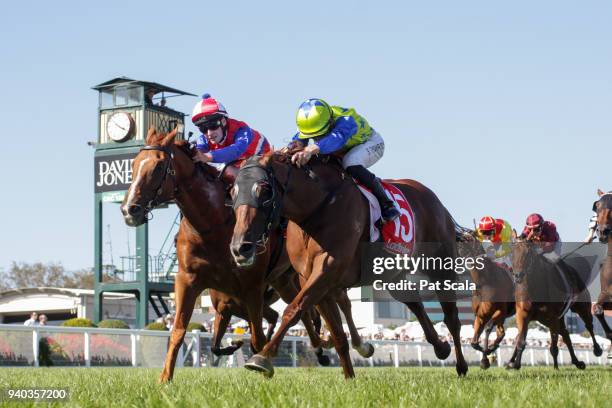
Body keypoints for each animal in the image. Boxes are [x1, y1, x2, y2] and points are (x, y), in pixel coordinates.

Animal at [120, 128, 330, 382]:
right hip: (281, 280)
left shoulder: (251, 286)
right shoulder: (189, 281)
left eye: (159, 167)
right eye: (133, 164)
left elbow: (257, 338)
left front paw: (260, 366)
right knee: (302, 310)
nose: (129, 209)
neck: (212, 223)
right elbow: (178, 331)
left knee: (304, 309)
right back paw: (318, 349)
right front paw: (165, 379)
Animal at [230, 153, 468, 380]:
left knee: (452, 319)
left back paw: (461, 366)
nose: (240, 247)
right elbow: (336, 334)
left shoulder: (327, 268)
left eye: (264, 190)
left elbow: (294, 309)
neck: (316, 209)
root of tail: (434, 199)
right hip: (391, 273)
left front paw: (262, 357)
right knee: (413, 302)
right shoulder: (314, 279)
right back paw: (441, 347)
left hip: (440, 267)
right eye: (233, 193)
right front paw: (349, 377)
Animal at [506, 237, 604, 372]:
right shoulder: (523, 314)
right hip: (551, 319)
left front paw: (556, 368)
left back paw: (597, 349)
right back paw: (577, 362)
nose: (518, 276)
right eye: (511, 253)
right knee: (566, 334)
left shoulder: (552, 317)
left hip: (581, 308)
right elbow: (520, 340)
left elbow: (553, 345)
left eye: (528, 254)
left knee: (588, 326)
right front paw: (514, 364)